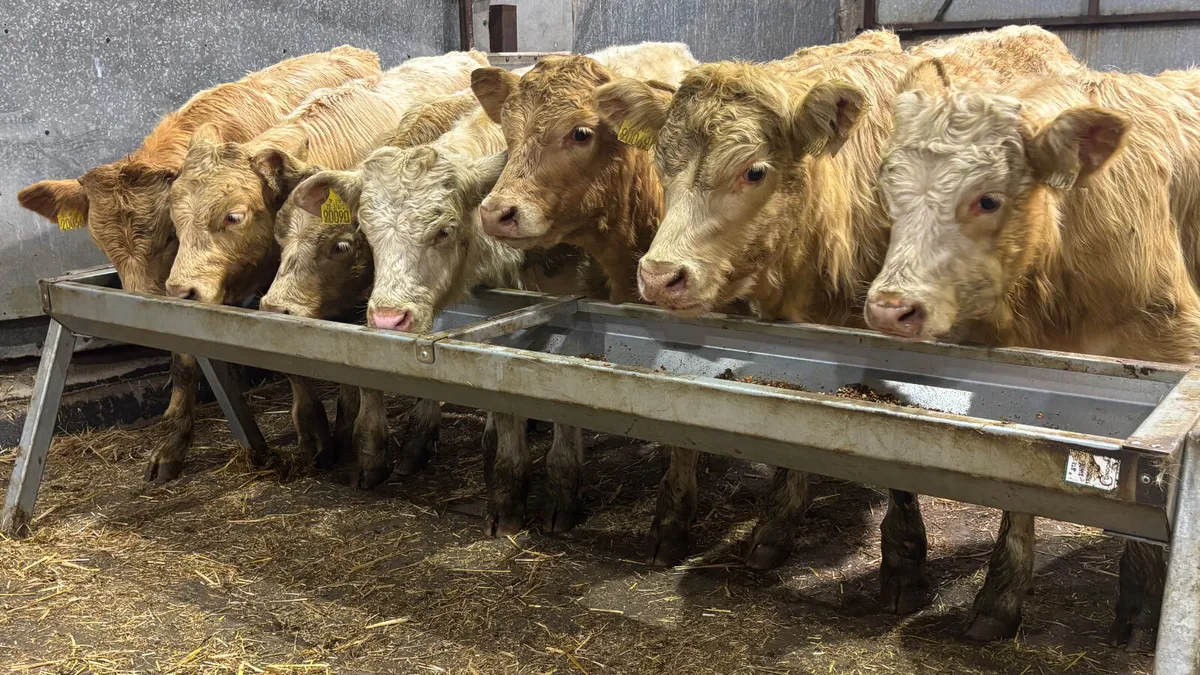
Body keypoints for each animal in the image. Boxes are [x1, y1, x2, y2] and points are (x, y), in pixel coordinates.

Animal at [17, 46, 381, 483]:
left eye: (169, 235)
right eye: (101, 243)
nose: (134, 314)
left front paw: (314, 436)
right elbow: (186, 360)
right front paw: (172, 445)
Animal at [864, 54, 1200, 649]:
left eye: (988, 198)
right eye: (887, 189)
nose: (888, 309)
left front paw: (1141, 609)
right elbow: (1017, 489)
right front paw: (998, 601)